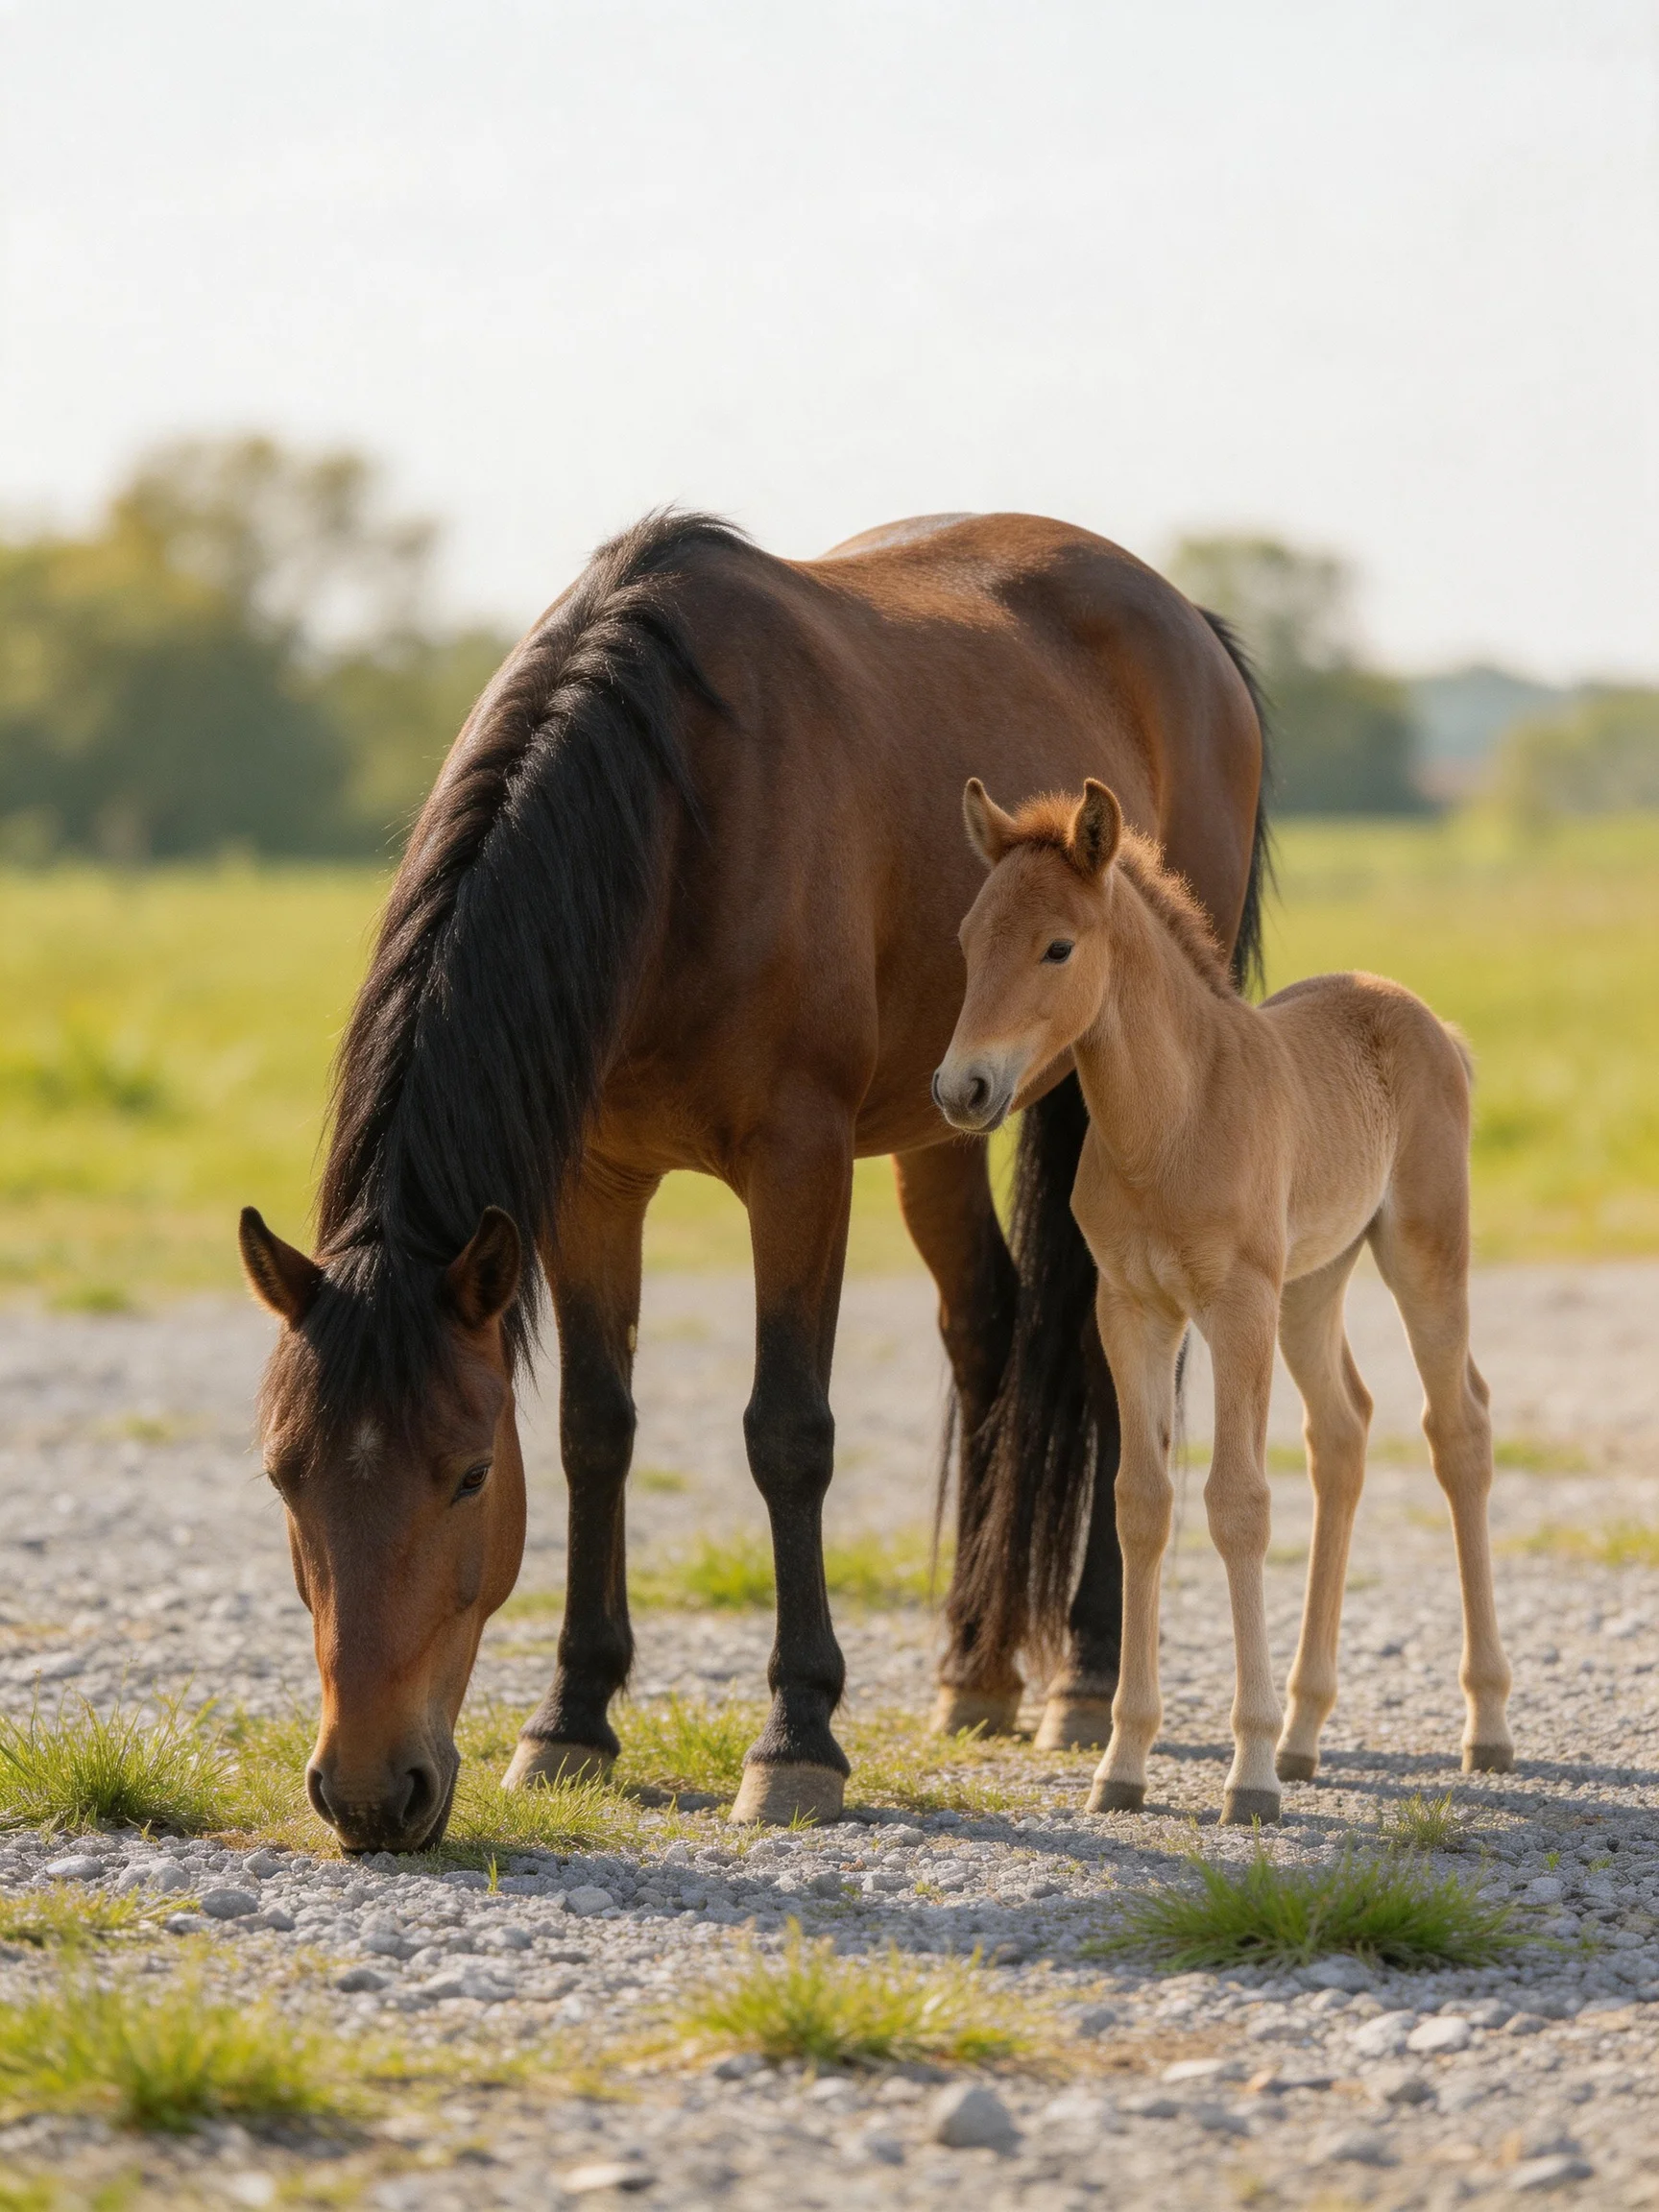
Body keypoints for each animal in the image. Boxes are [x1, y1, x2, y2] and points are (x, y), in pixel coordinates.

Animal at [238, 510, 1268, 1852]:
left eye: (467, 1475)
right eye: (283, 1473)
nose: (367, 1791)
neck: (678, 811)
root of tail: (1191, 623)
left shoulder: (799, 1163)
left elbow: (788, 1433)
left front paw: (797, 1738)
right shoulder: (594, 1184)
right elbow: (595, 1431)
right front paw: (570, 1720)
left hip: (1105, 1094)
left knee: (1109, 1362)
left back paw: (1086, 1677)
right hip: (949, 1117)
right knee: (991, 1333)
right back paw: (977, 1668)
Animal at [934, 776, 1512, 1824]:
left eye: (1057, 947)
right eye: (967, 940)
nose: (963, 1089)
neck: (1171, 1118)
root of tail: (1426, 1022)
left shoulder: (1234, 1304)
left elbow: (1237, 1502)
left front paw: (1244, 1778)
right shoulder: (1131, 1310)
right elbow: (1141, 1502)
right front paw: (1121, 1763)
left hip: (1420, 1256)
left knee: (1459, 1429)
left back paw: (1482, 1725)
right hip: (1312, 1285)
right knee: (1344, 1433)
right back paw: (1305, 1735)